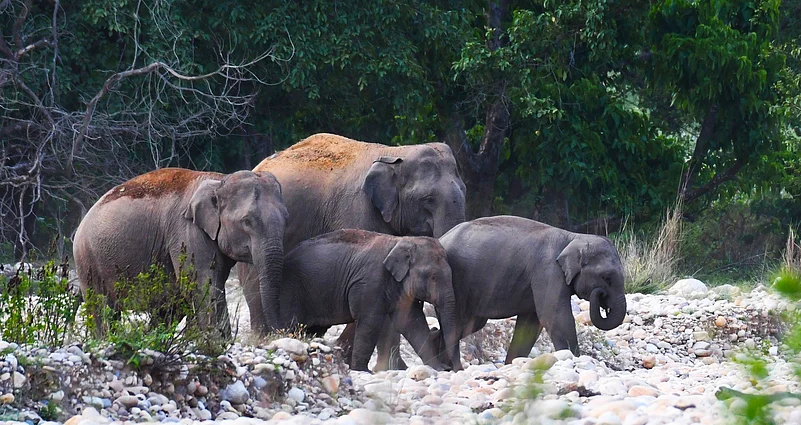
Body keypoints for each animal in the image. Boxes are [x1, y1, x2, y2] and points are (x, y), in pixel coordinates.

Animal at [73, 168, 288, 336]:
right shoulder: (186, 231)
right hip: (87, 260)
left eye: (286, 218)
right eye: (247, 221)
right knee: (100, 306)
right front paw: (218, 342)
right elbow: (203, 285)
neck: (219, 181)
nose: (279, 333)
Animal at [277, 229, 462, 372]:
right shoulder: (370, 282)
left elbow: (413, 323)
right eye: (433, 276)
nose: (453, 368)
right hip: (291, 289)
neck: (400, 241)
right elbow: (370, 322)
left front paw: (437, 368)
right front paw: (362, 371)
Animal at [380, 215, 628, 367]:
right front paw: (574, 358)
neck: (573, 237)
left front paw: (513, 364)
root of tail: (441, 238)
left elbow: (531, 323)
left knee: (469, 323)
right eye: (607, 278)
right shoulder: (547, 271)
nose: (601, 297)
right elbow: (554, 316)